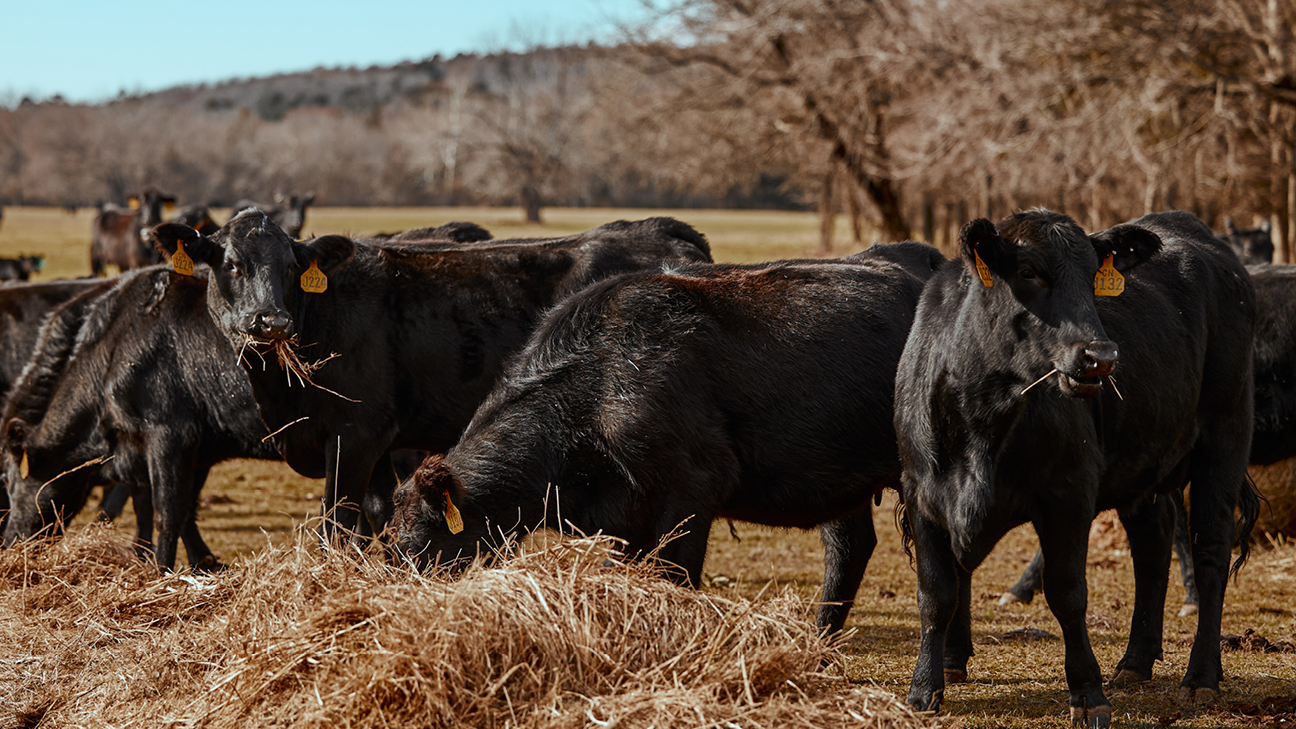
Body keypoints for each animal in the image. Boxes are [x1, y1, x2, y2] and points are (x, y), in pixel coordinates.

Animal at [0, 267, 282, 568]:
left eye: (9, 480)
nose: (10, 541)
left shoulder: (168, 436)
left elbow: (166, 514)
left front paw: (161, 568)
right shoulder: (195, 452)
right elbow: (183, 510)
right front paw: (204, 562)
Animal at [155, 212, 715, 542]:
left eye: (293, 266)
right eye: (231, 264)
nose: (272, 322)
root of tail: (663, 228)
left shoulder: (355, 435)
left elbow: (337, 523)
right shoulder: (377, 447)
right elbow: (374, 517)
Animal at [896, 208, 1259, 721]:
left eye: (1092, 278)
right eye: (1028, 271)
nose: (1101, 356)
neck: (981, 416)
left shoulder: (1067, 493)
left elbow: (1067, 593)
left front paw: (1087, 693)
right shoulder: (920, 492)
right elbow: (935, 594)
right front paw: (925, 688)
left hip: (1225, 435)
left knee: (1210, 550)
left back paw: (1201, 677)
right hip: (1143, 461)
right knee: (1152, 542)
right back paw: (1135, 661)